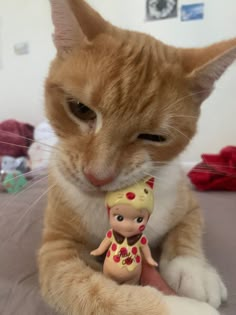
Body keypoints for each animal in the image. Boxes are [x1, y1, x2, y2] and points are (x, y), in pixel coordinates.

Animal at [37, 0, 235, 315]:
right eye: (80, 108)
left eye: (154, 137)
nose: (98, 176)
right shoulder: (56, 253)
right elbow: (91, 290)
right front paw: (183, 308)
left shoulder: (189, 204)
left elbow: (187, 230)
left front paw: (193, 270)